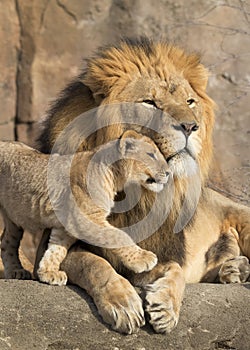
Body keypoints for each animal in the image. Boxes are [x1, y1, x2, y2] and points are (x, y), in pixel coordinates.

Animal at [34, 37, 249, 334]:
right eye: (150, 102)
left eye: (190, 101)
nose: (190, 126)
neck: (139, 189)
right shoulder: (47, 250)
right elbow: (94, 263)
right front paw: (122, 303)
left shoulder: (161, 248)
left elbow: (175, 269)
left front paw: (166, 307)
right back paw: (233, 270)